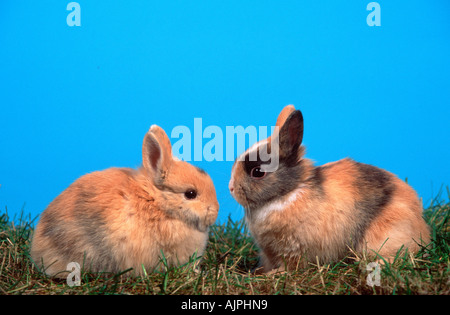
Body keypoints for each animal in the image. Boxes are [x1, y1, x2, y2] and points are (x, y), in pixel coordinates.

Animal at [230, 105, 430, 272]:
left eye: (258, 172)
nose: (231, 188)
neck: (289, 192)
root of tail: (422, 228)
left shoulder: (294, 250)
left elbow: (291, 266)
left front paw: (274, 274)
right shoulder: (269, 252)